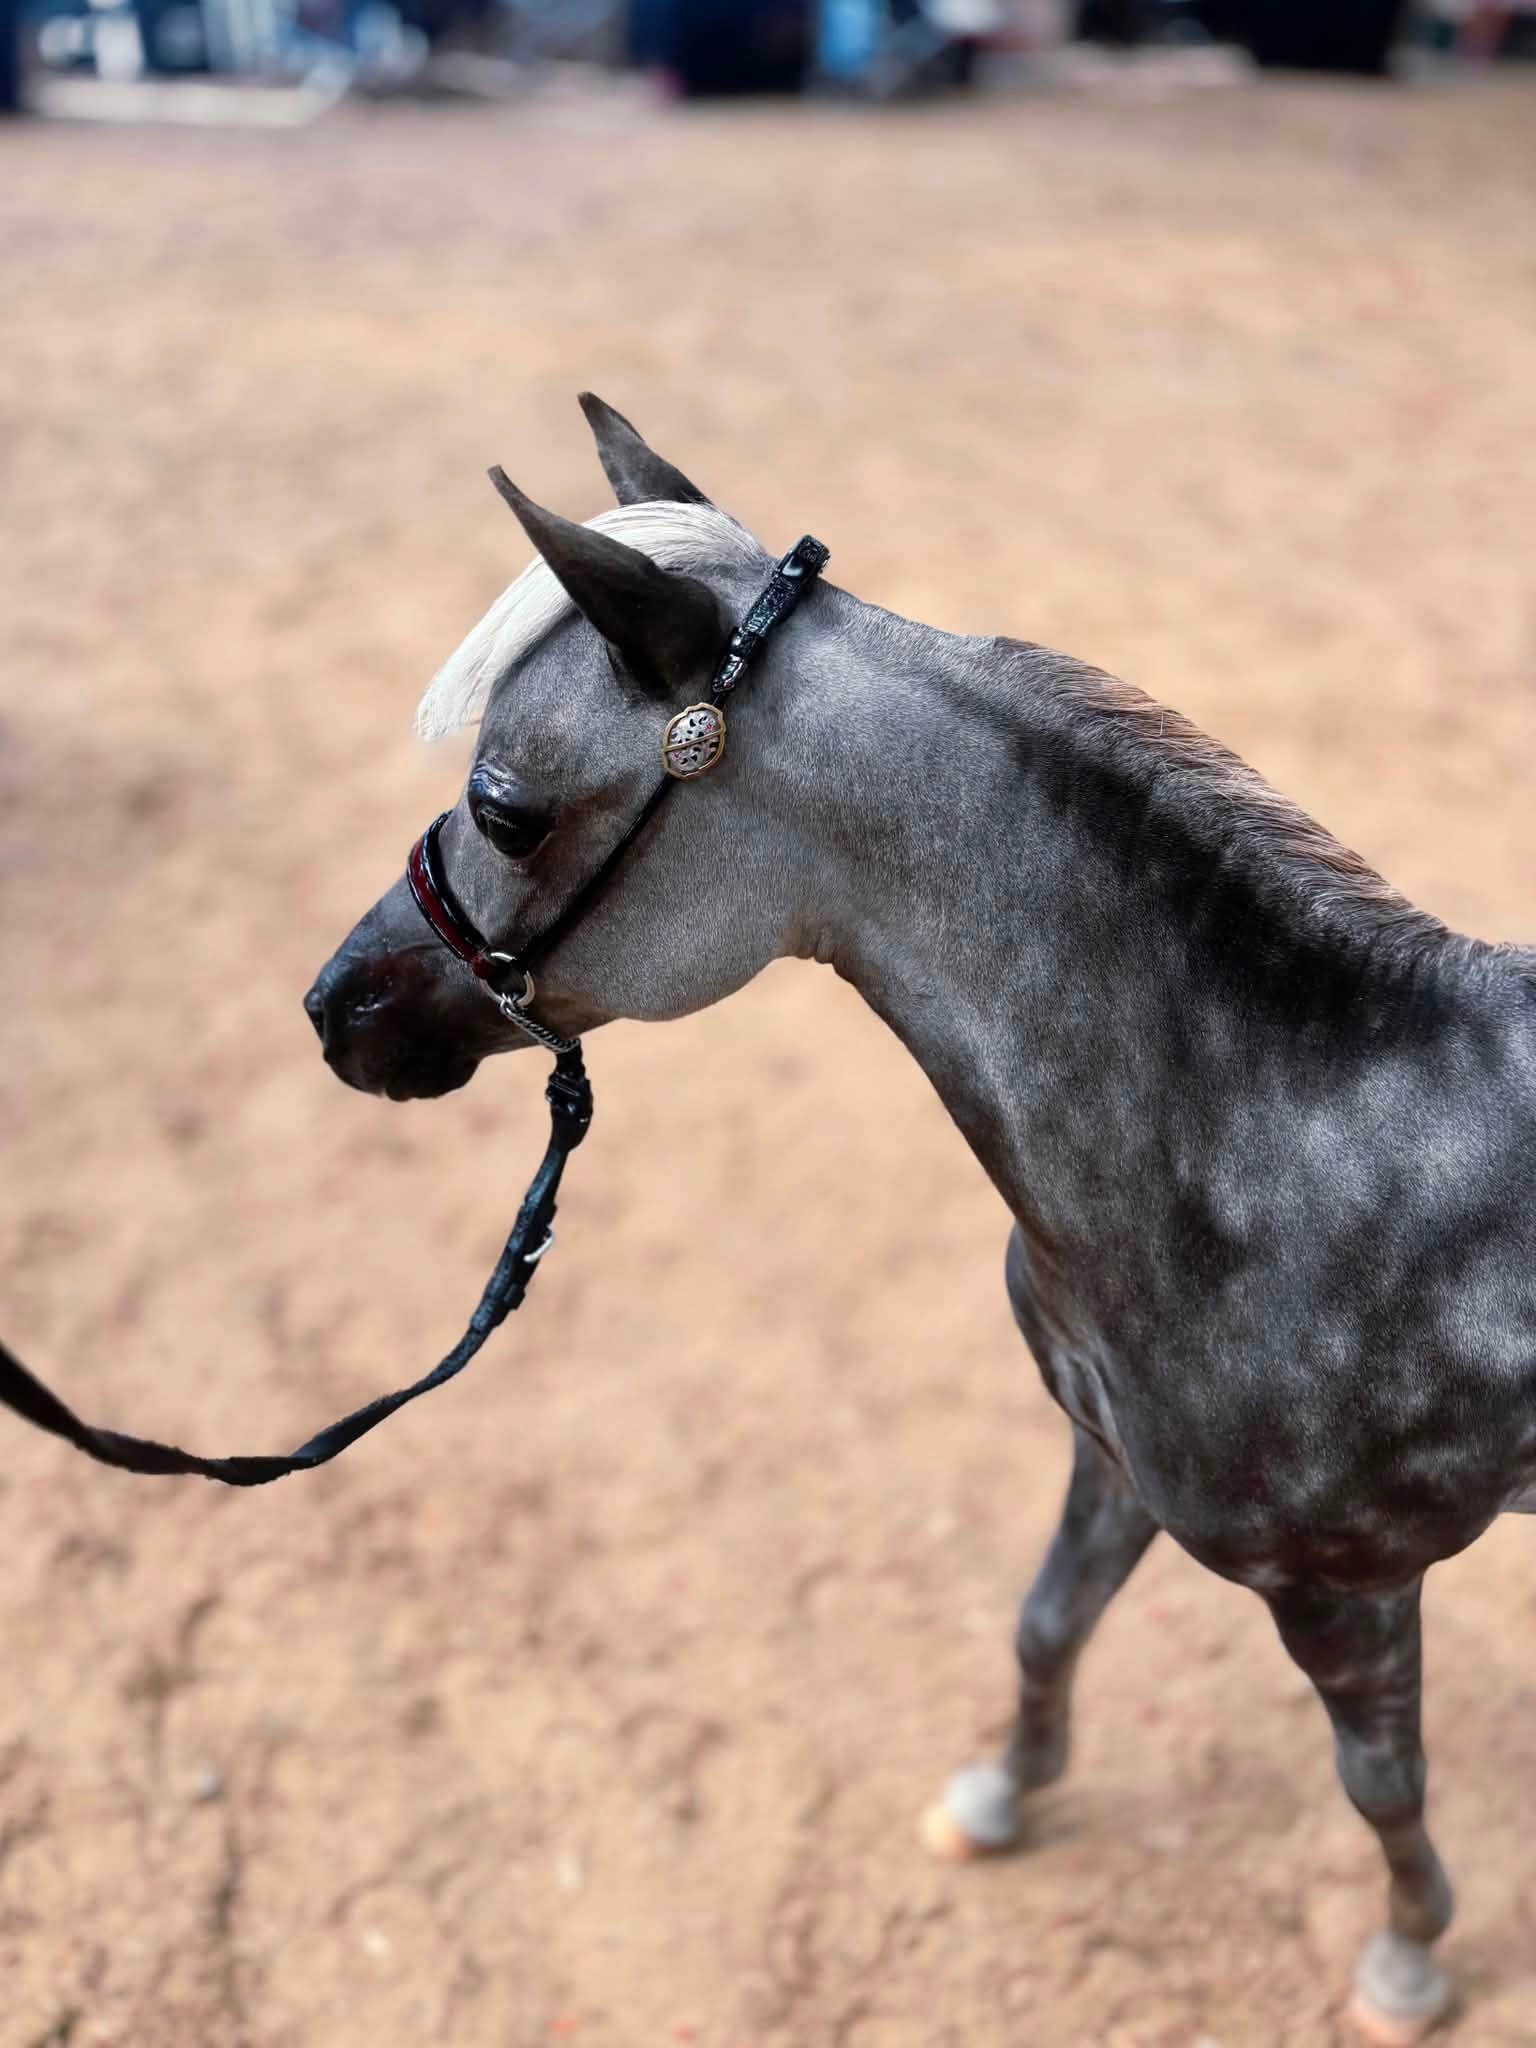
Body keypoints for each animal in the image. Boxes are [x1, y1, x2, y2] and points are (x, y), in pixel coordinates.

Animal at [304, 395, 1536, 2044]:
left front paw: (1410, 1959)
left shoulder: (1347, 1584)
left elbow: (1380, 1778)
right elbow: (1045, 1624)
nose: (334, 1009)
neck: (1285, 1139)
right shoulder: (1106, 1451)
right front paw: (998, 1800)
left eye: (504, 804)